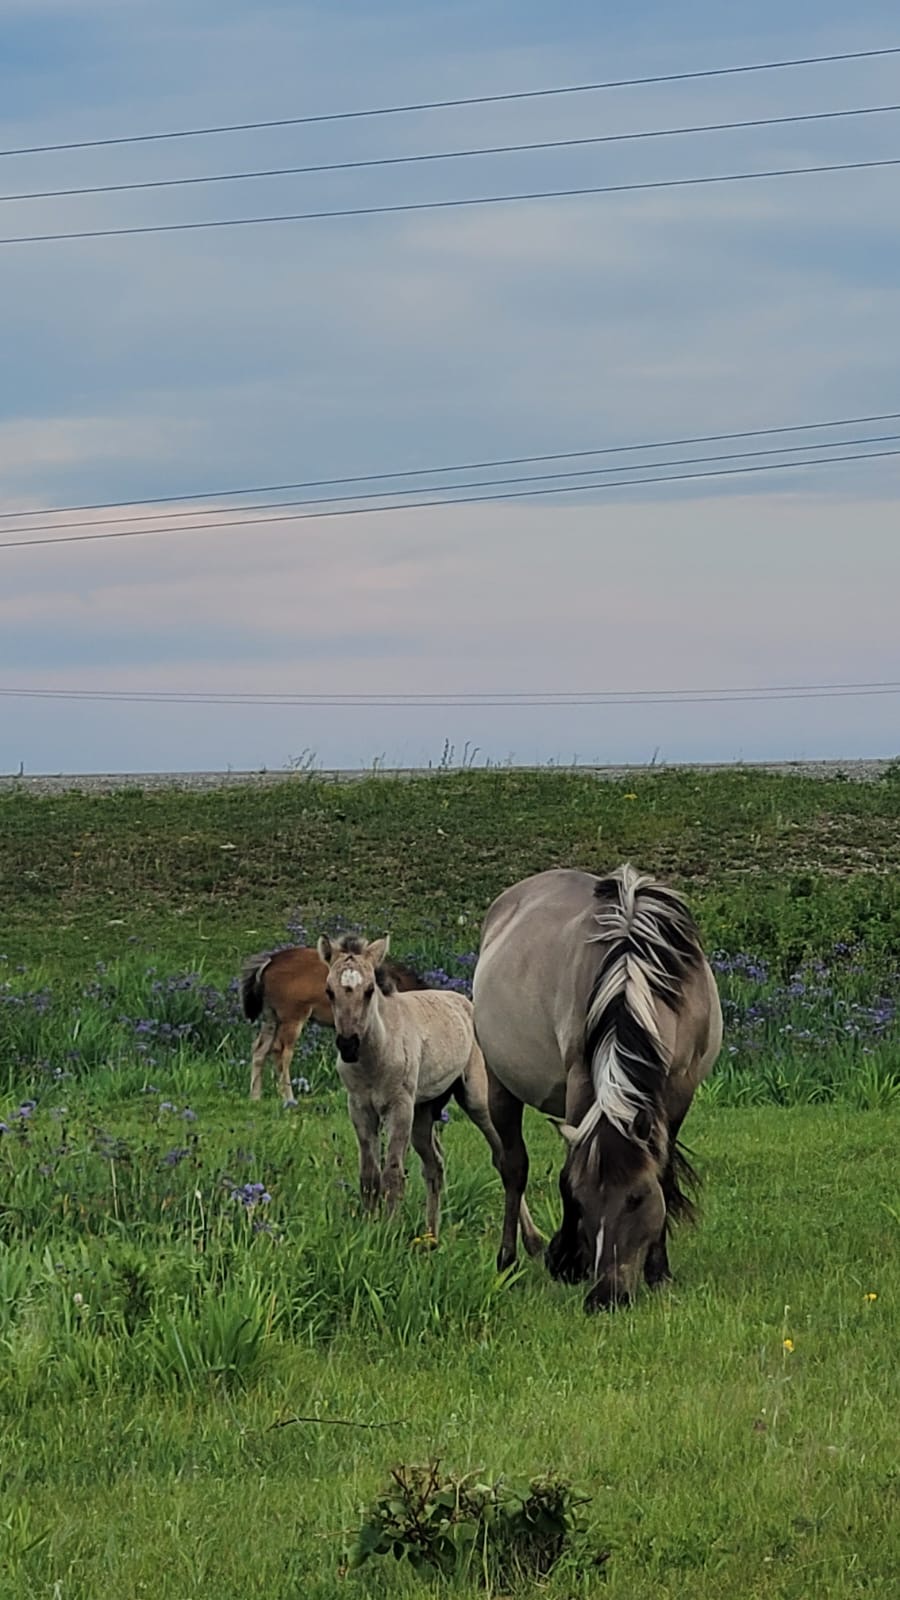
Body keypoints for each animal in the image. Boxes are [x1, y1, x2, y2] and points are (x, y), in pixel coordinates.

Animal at [240, 936, 428, 1106]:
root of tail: (269, 962)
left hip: (271, 1017)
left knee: (259, 1048)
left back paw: (255, 1097)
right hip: (292, 1018)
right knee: (281, 1051)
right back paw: (289, 1099)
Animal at [318, 932, 541, 1247]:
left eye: (370, 990)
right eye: (329, 991)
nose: (348, 1045)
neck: (376, 1054)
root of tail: (465, 1002)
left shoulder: (399, 1107)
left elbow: (392, 1173)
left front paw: (388, 1233)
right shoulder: (359, 1108)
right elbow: (369, 1177)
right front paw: (368, 1232)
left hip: (476, 1101)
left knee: (502, 1158)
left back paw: (533, 1241)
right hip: (423, 1113)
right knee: (434, 1165)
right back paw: (431, 1238)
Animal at [471, 864, 722, 1311]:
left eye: (637, 1198)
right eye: (582, 1200)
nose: (605, 1297)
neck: (635, 967)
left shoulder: (680, 1088)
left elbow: (664, 1171)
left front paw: (659, 1271)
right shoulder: (580, 1079)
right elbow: (568, 1168)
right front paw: (567, 1260)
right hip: (500, 1084)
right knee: (513, 1168)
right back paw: (508, 1261)